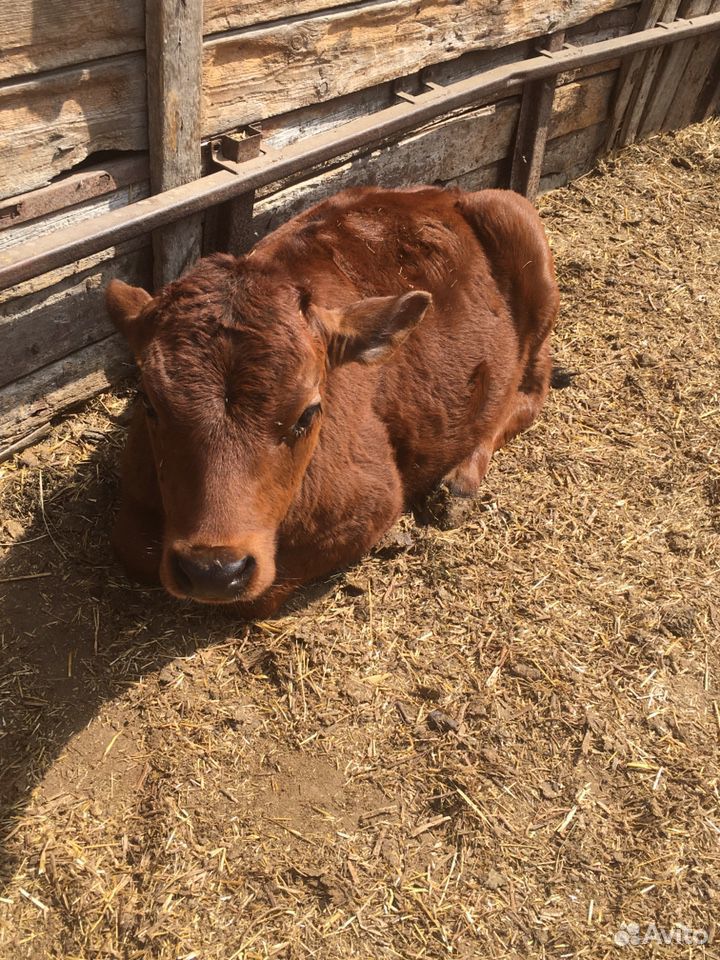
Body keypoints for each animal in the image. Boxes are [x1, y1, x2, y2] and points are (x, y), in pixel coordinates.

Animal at [105, 187, 556, 620]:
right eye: (149, 403)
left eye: (307, 414)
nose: (213, 571)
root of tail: (447, 195)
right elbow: (131, 548)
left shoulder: (373, 504)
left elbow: (263, 593)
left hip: (528, 249)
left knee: (529, 392)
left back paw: (459, 483)